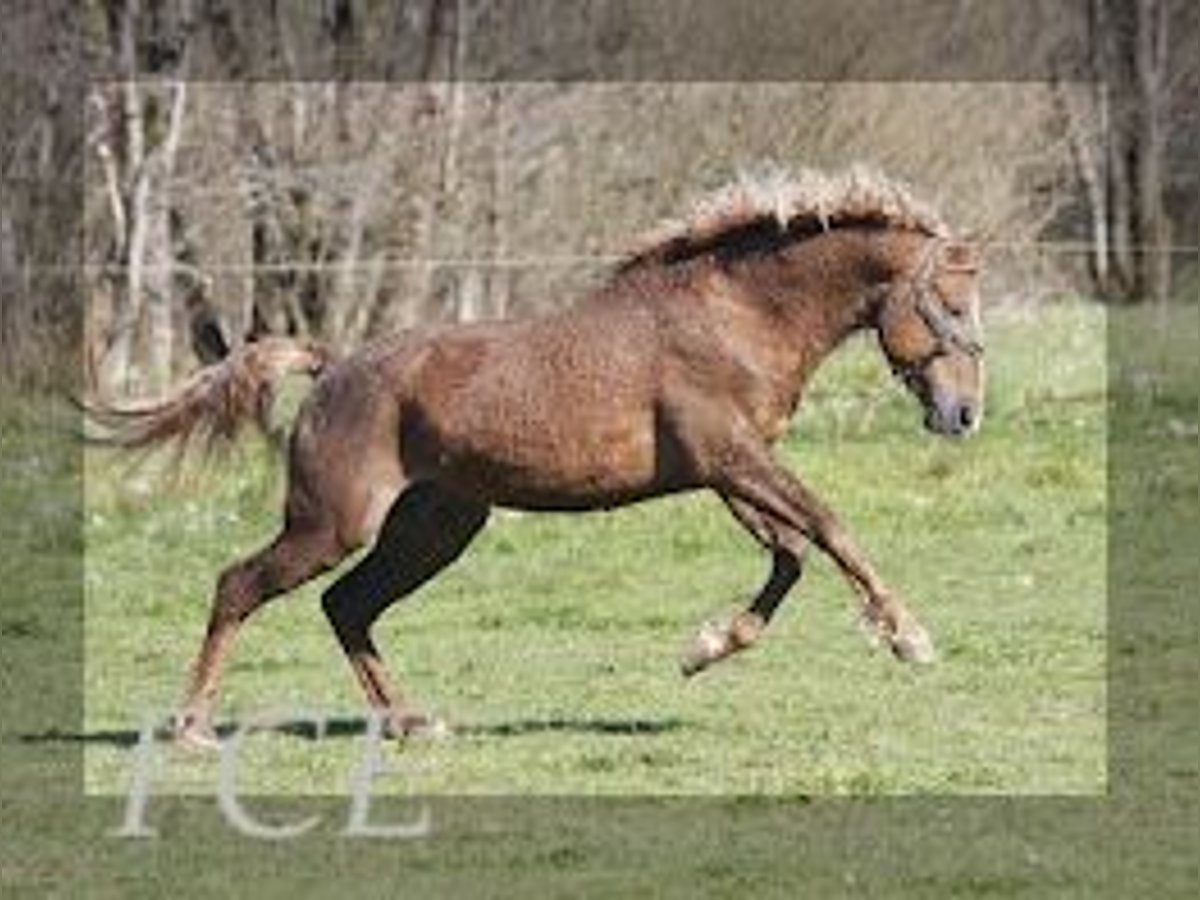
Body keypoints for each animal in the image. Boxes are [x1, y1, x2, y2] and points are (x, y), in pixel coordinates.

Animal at [88, 165, 979, 748]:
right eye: (954, 303)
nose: (963, 414)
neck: (736, 314)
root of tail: (333, 365)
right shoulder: (731, 459)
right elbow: (828, 528)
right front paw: (909, 637)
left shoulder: (727, 470)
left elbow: (790, 554)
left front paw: (703, 649)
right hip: (334, 524)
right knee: (241, 586)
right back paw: (193, 730)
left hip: (437, 527)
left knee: (348, 606)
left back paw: (411, 722)